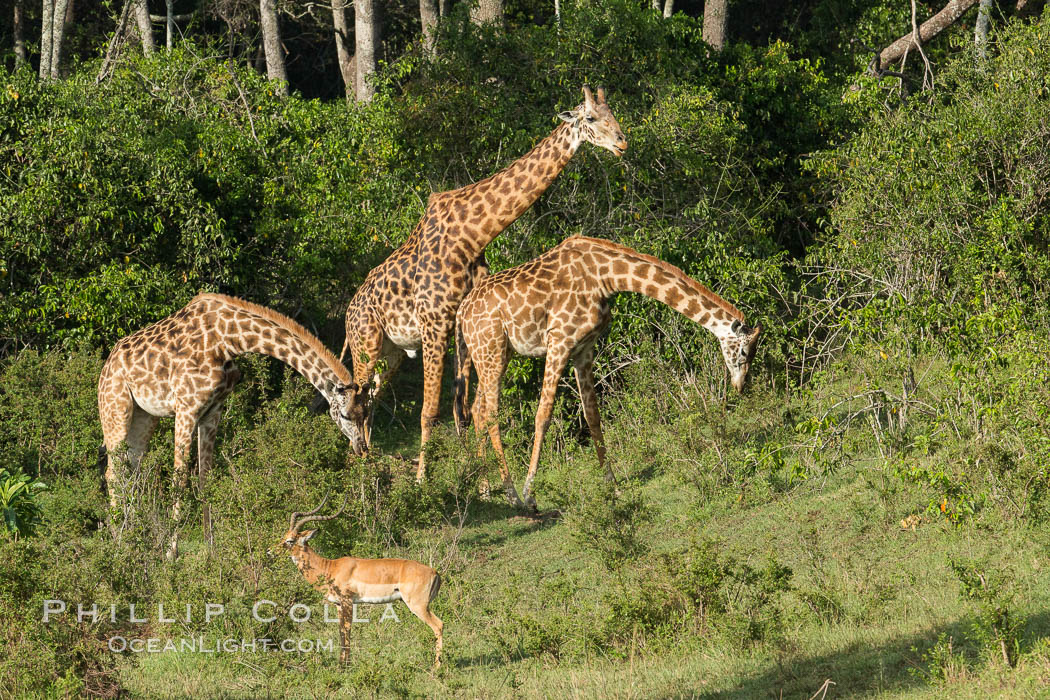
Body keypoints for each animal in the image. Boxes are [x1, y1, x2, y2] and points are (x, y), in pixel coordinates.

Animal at [97, 293, 369, 562]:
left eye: (365, 414)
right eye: (344, 415)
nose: (361, 448)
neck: (229, 339)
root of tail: (106, 366)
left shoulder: (212, 411)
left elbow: (205, 480)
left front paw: (211, 549)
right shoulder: (186, 408)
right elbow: (179, 480)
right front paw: (171, 552)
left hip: (144, 416)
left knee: (131, 471)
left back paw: (133, 535)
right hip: (116, 408)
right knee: (113, 472)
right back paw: (120, 540)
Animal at [340, 85, 625, 478]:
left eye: (614, 112)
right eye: (592, 118)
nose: (622, 143)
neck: (472, 234)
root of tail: (348, 311)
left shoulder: (461, 322)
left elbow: (461, 409)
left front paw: (476, 475)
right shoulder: (434, 324)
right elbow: (431, 410)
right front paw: (424, 478)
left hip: (392, 353)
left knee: (368, 396)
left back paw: (367, 459)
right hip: (365, 344)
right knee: (351, 400)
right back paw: (360, 464)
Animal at [455, 235, 760, 510]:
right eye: (745, 352)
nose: (741, 386)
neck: (605, 277)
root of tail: (461, 313)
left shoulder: (583, 350)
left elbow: (593, 416)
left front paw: (612, 485)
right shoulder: (559, 341)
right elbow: (543, 415)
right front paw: (530, 493)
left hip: (494, 353)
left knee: (478, 410)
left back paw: (485, 491)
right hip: (491, 350)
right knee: (491, 415)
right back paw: (513, 496)